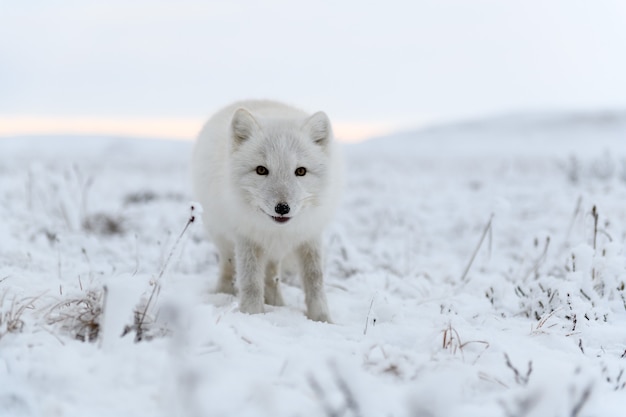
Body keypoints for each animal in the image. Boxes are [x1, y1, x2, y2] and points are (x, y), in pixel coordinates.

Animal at [193, 99, 344, 320]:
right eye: (261, 170)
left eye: (301, 171)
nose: (282, 208)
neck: (279, 230)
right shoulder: (247, 237)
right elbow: (250, 282)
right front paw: (252, 315)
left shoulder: (310, 235)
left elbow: (314, 279)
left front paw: (322, 319)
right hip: (223, 238)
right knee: (229, 267)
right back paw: (223, 293)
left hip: (273, 251)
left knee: (271, 275)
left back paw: (276, 304)